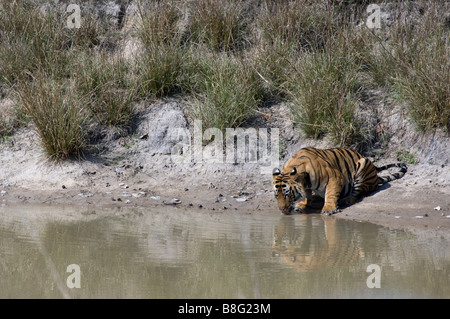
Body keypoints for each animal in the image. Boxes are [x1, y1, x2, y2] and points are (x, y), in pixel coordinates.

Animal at [270, 147, 408, 216]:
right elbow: (307, 194)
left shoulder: (334, 177)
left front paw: (329, 209)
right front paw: (302, 204)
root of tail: (375, 174)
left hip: (362, 165)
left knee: (359, 193)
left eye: (288, 194)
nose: (282, 210)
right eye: (277, 195)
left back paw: (346, 200)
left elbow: (330, 194)